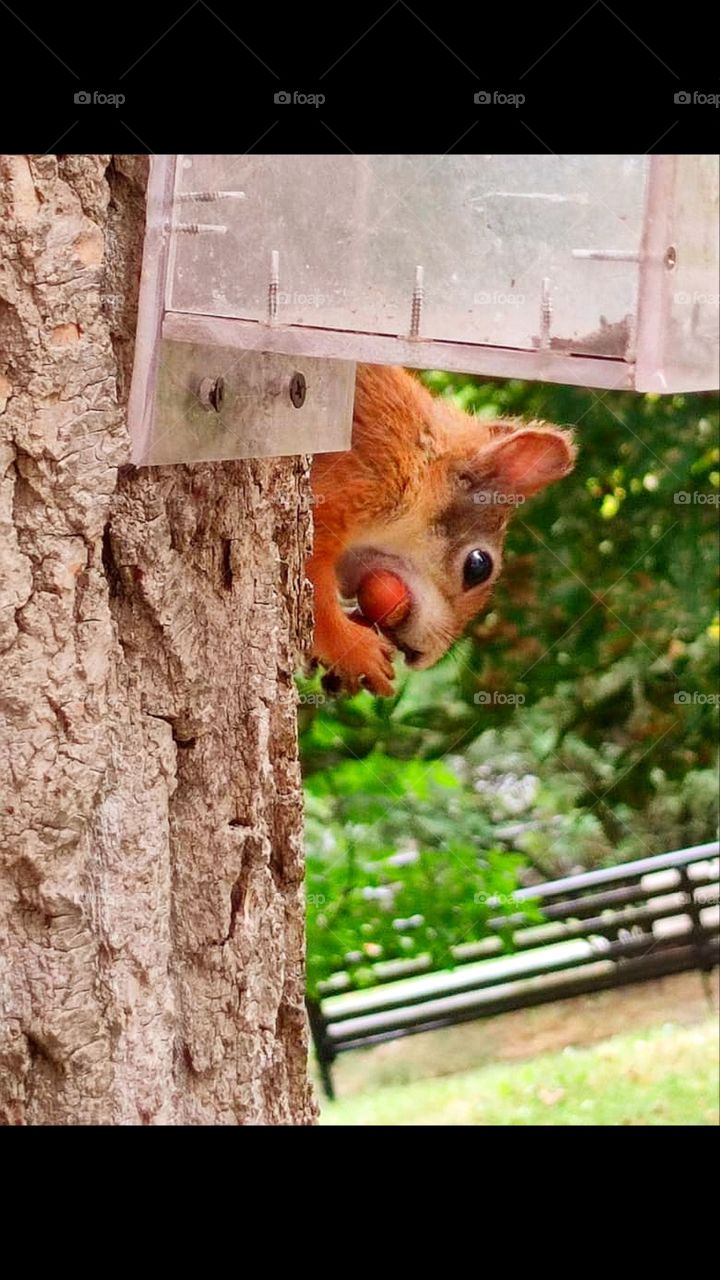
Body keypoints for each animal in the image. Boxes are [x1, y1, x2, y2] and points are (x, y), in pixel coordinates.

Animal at [308, 363, 576, 697]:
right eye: (478, 565)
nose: (424, 656)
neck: (422, 465)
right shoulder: (357, 479)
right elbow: (314, 581)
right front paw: (356, 650)